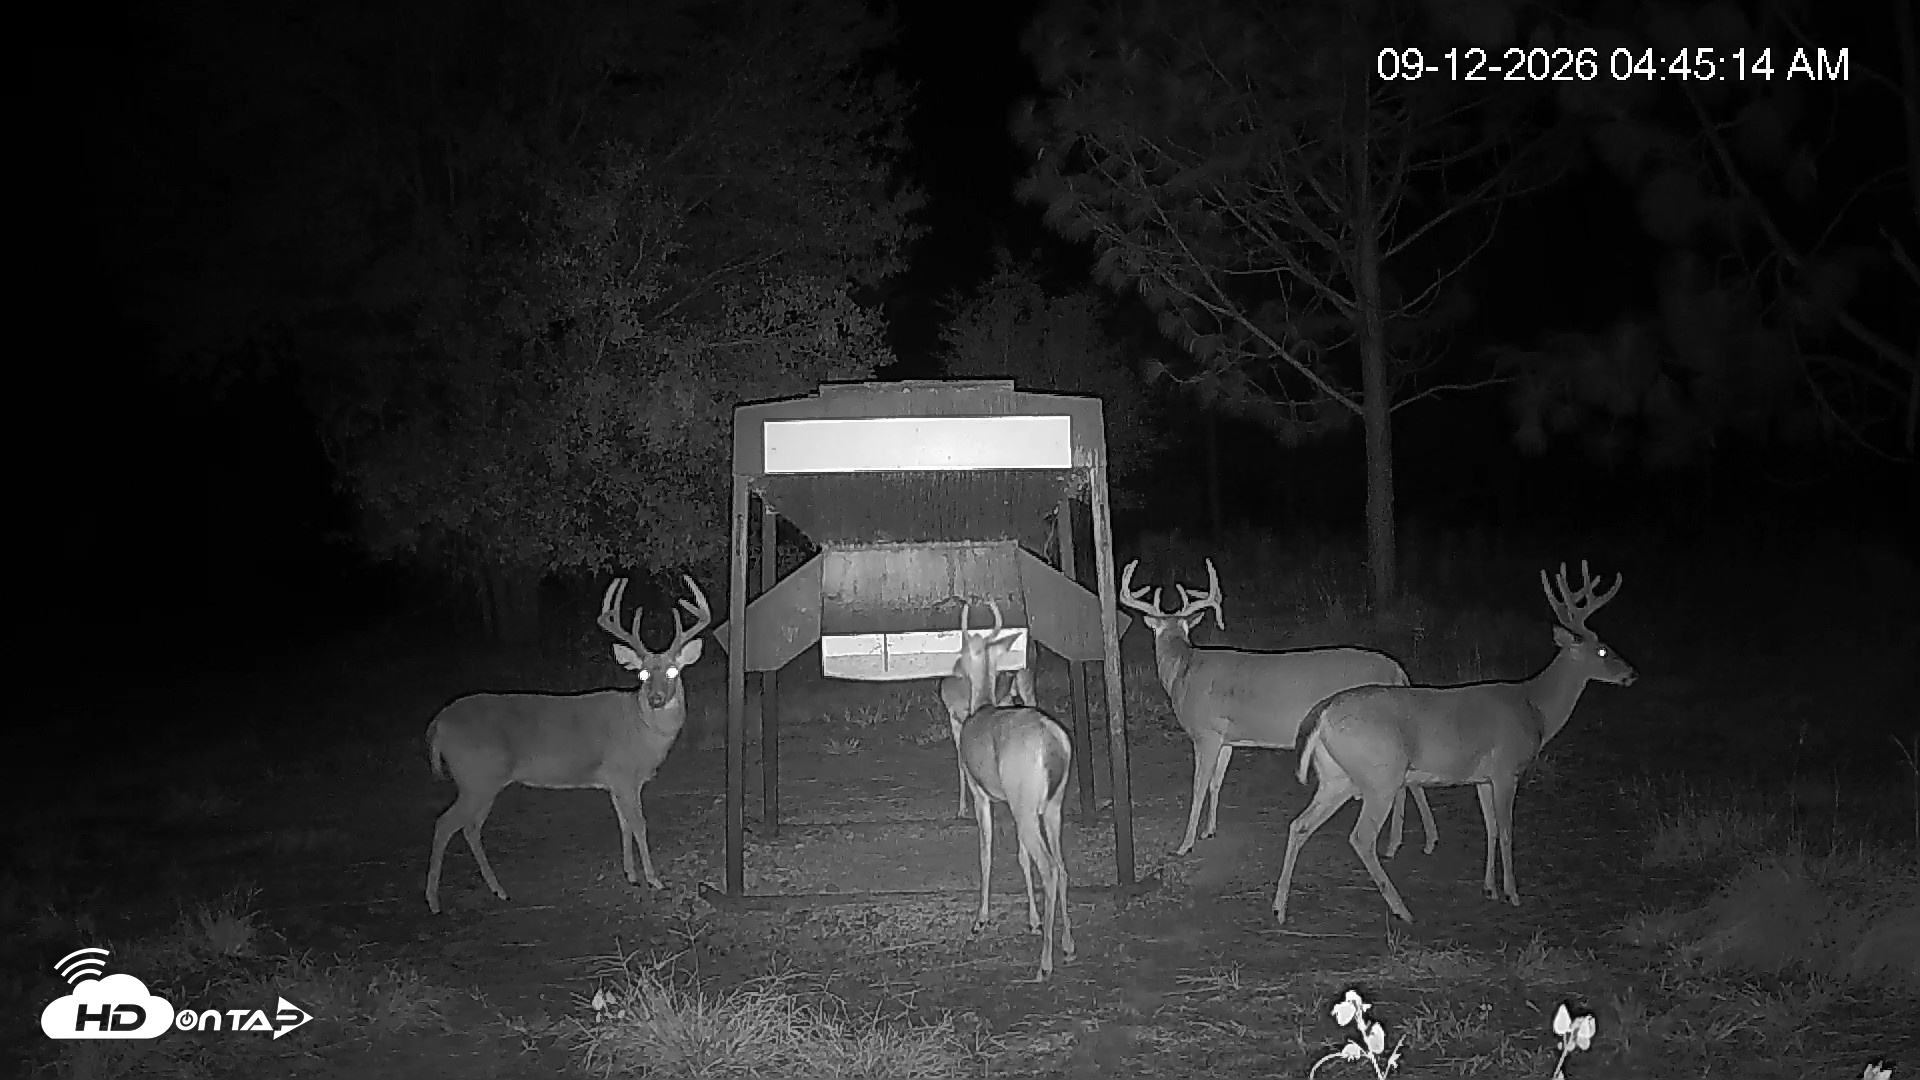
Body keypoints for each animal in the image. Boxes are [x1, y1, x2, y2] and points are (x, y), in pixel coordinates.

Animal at [424, 575, 711, 914]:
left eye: (672, 671)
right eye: (641, 674)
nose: (655, 698)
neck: (641, 728)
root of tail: (438, 722)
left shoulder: (615, 781)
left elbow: (624, 824)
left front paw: (630, 874)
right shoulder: (624, 774)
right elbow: (639, 825)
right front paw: (653, 879)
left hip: (482, 781)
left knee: (470, 827)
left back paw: (498, 890)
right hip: (477, 775)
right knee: (445, 823)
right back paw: (433, 901)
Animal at [950, 597, 1075, 981]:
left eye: (963, 648)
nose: (954, 668)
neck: (981, 707)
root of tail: (1053, 743)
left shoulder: (982, 794)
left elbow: (987, 850)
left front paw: (980, 919)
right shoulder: (1014, 802)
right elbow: (1020, 857)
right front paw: (1033, 920)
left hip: (1027, 809)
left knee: (1050, 868)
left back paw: (1045, 963)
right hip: (1049, 807)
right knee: (1062, 866)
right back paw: (1068, 943)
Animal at [1118, 558, 1437, 860]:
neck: (1183, 671)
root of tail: (1397, 671)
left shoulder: (1205, 732)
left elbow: (1198, 787)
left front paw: (1184, 844)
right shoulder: (1226, 738)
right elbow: (1216, 783)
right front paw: (1209, 830)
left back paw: (1400, 844)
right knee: (1409, 781)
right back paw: (1416, 842)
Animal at [1272, 561, 1636, 925]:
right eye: (1602, 650)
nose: (1631, 673)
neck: (1536, 708)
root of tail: (1324, 712)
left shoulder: (1483, 778)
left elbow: (1490, 828)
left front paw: (1489, 888)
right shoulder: (1506, 770)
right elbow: (1507, 831)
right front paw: (1513, 894)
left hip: (1338, 777)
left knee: (1299, 825)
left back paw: (1279, 908)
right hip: (1381, 775)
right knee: (1361, 838)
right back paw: (1402, 909)